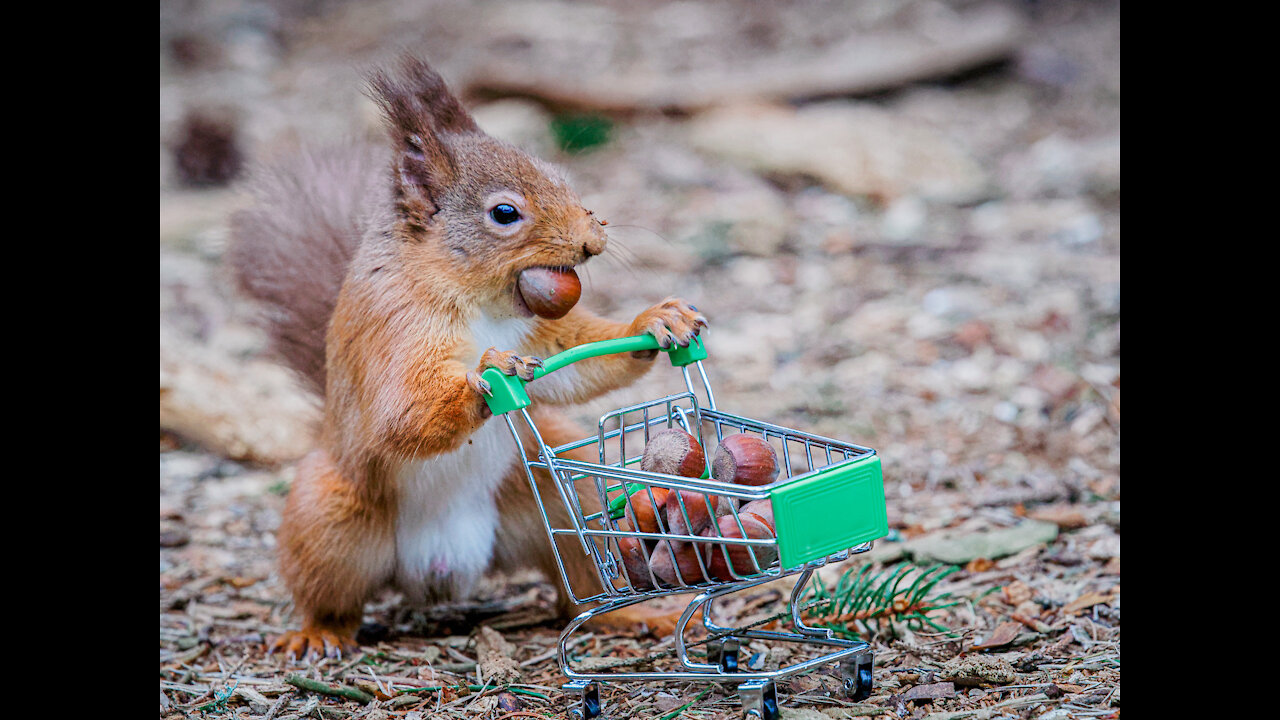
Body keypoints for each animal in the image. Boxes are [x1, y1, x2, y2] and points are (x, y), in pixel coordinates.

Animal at [232, 54, 711, 655]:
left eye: (559, 176)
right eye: (504, 213)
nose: (592, 240)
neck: (478, 300)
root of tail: (442, 569)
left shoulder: (538, 336)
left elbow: (577, 360)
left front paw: (656, 321)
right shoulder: (396, 326)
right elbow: (400, 410)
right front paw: (491, 371)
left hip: (559, 494)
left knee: (575, 581)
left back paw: (629, 615)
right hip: (329, 519)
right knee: (332, 598)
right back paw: (317, 633)